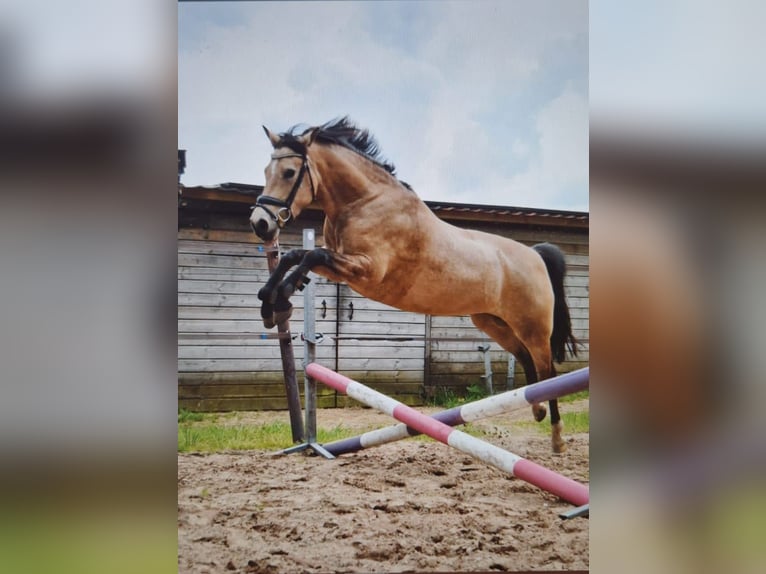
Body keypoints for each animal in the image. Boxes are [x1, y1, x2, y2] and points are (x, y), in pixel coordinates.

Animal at [252, 117, 584, 452]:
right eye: (266, 171)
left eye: (289, 172)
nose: (260, 224)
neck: (363, 203)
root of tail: (535, 255)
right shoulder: (342, 268)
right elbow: (296, 255)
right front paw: (271, 306)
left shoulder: (366, 270)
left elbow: (310, 255)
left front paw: (283, 297)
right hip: (493, 322)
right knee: (526, 358)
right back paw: (537, 410)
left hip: (533, 326)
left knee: (547, 367)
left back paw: (557, 436)